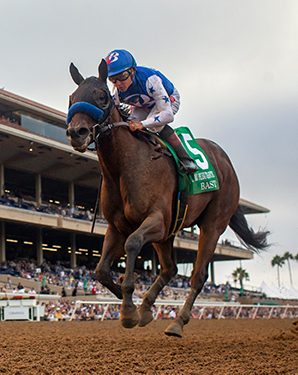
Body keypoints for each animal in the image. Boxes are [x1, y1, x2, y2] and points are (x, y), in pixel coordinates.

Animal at [67, 59, 270, 338]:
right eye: (72, 97)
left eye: (101, 96)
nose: (76, 132)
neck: (125, 166)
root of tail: (226, 163)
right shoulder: (117, 227)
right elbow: (101, 270)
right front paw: (124, 298)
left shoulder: (157, 221)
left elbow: (132, 244)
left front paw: (128, 309)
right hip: (170, 231)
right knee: (170, 268)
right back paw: (146, 309)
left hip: (212, 224)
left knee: (198, 275)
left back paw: (177, 322)